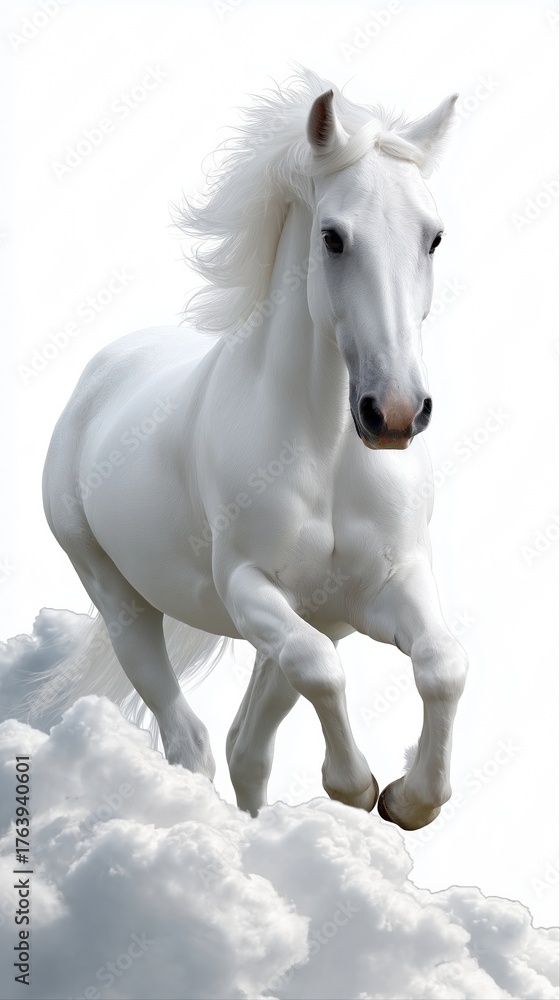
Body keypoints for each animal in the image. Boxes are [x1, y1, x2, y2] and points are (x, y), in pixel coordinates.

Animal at [40, 69, 468, 831]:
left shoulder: (385, 586)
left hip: (317, 614)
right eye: (332, 237)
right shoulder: (246, 588)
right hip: (119, 599)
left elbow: (442, 664)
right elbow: (321, 670)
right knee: (193, 739)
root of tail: (102, 373)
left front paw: (408, 800)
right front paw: (355, 787)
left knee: (247, 743)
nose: (393, 413)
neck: (328, 453)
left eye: (435, 237)